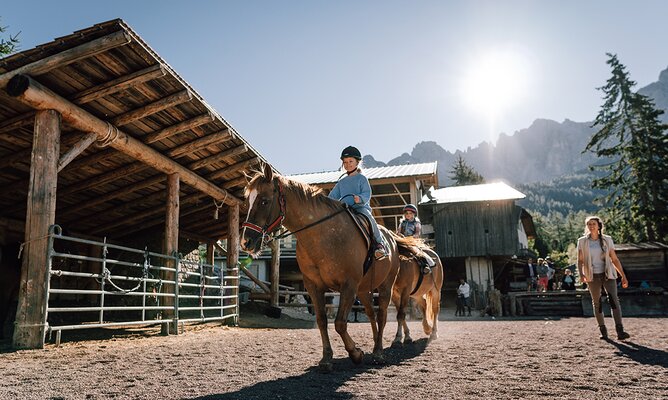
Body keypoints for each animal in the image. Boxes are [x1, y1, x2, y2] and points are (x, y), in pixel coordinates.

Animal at [241, 164, 404, 370]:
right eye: (247, 201)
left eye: (264, 201)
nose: (245, 242)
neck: (324, 236)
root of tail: (391, 237)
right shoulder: (314, 286)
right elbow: (321, 320)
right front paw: (326, 358)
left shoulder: (348, 285)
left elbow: (340, 323)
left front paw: (356, 353)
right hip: (363, 290)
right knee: (371, 314)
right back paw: (375, 345)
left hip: (385, 287)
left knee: (381, 315)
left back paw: (379, 353)